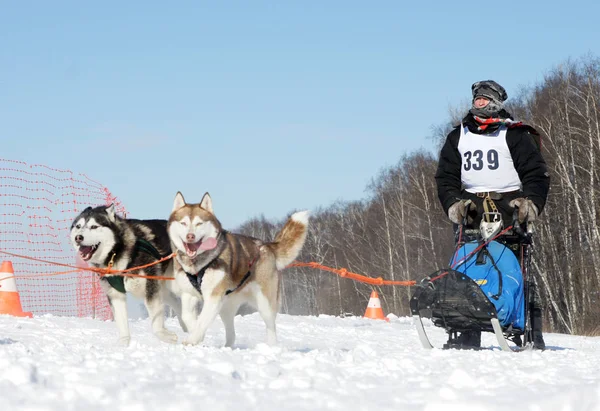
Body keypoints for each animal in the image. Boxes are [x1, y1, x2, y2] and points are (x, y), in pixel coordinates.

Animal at [70, 204, 188, 346]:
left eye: (94, 226)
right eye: (78, 226)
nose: (78, 237)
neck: (117, 252)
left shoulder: (150, 288)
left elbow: (156, 322)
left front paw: (165, 336)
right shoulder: (115, 294)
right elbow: (121, 322)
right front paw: (123, 344)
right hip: (163, 287)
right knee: (176, 301)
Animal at [169, 193, 310, 348]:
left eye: (199, 223)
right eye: (183, 223)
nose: (190, 236)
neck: (198, 264)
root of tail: (266, 246)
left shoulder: (213, 296)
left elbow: (202, 320)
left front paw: (192, 340)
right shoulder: (189, 294)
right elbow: (188, 317)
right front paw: (196, 335)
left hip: (264, 303)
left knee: (271, 326)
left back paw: (272, 347)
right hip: (226, 306)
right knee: (231, 333)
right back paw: (227, 347)